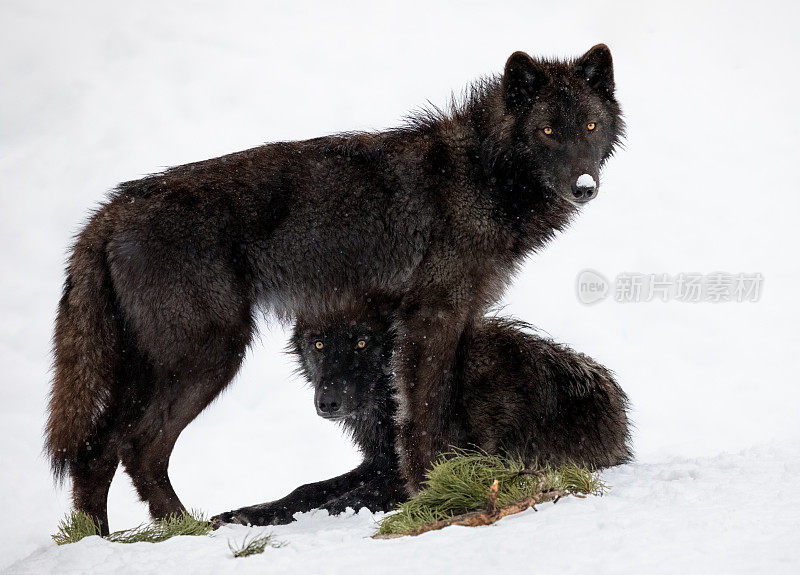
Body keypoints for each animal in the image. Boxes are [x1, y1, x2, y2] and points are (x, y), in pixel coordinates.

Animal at [212, 308, 632, 528]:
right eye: (318, 344)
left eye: (362, 343)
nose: (327, 402)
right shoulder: (381, 460)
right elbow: (306, 489)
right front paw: (244, 513)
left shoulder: (431, 466)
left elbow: (345, 498)